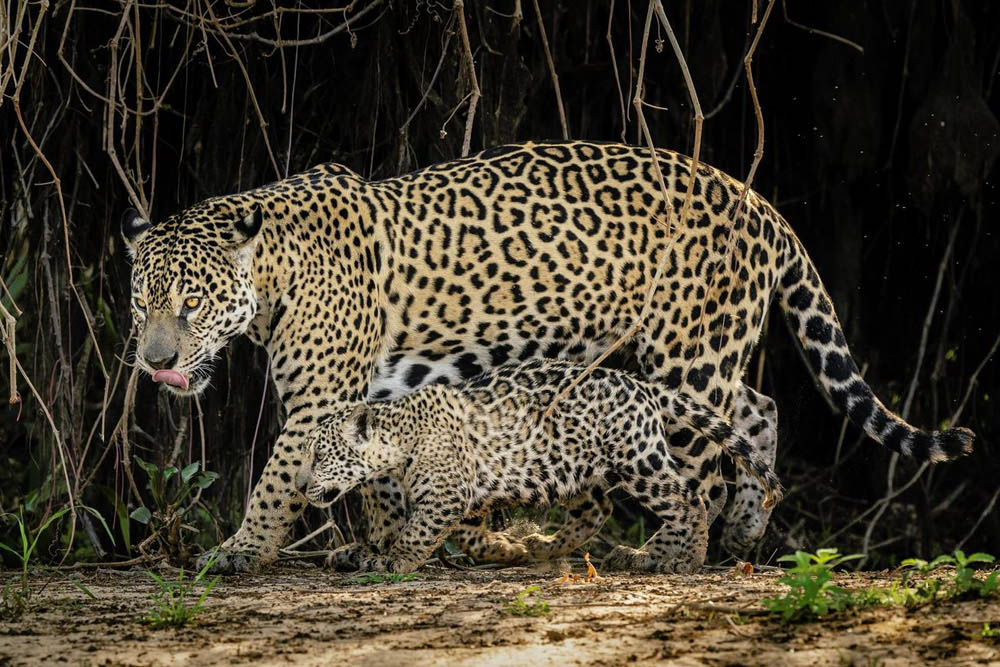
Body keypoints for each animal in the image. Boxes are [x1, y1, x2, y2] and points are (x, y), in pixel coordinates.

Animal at [297, 359, 784, 574]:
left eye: (319, 455)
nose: (301, 486)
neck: (400, 435)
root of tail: (640, 384)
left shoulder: (447, 494)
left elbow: (418, 532)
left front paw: (394, 560)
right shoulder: (468, 496)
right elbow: (468, 535)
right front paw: (507, 550)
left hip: (637, 459)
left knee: (689, 499)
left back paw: (684, 559)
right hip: (578, 464)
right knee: (597, 510)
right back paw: (544, 546)